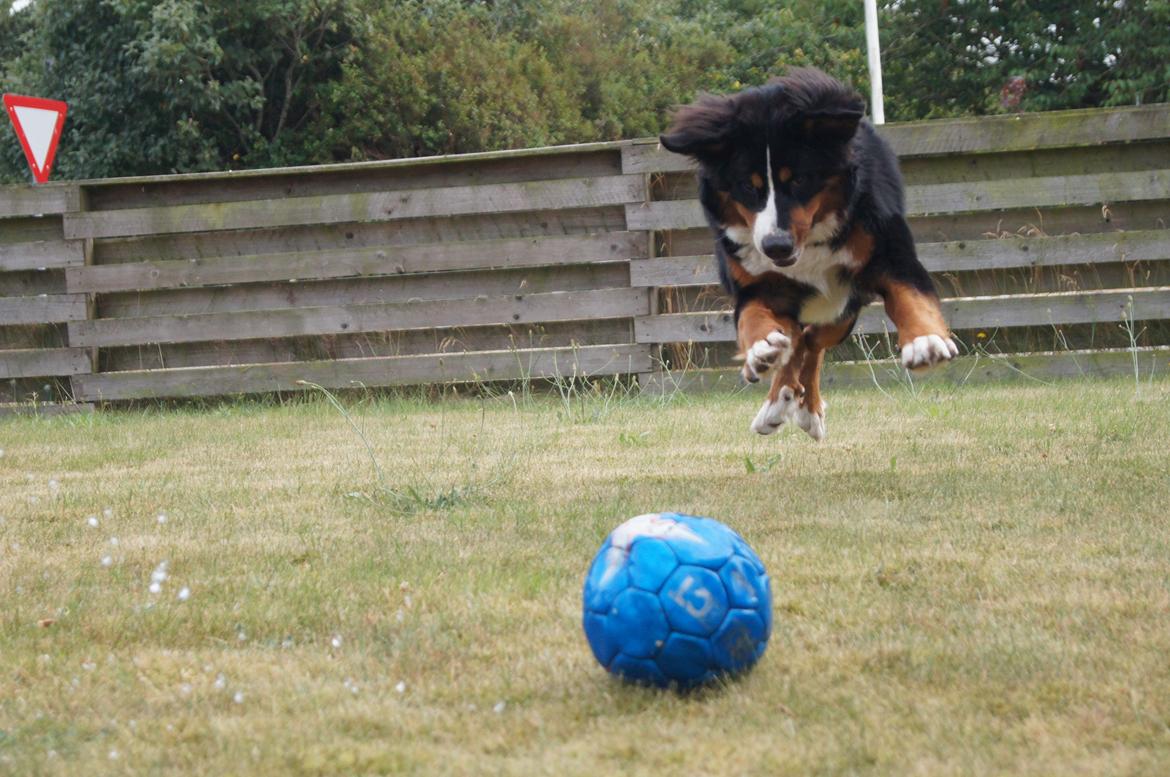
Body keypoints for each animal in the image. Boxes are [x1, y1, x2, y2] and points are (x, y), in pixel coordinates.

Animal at [664, 68, 954, 437]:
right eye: (747, 186)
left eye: (799, 180)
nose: (776, 245)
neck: (809, 246)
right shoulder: (755, 286)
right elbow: (753, 317)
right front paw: (760, 347)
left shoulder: (891, 256)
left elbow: (911, 296)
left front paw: (925, 340)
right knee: (798, 341)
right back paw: (776, 399)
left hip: (842, 308)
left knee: (813, 341)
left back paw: (804, 407)